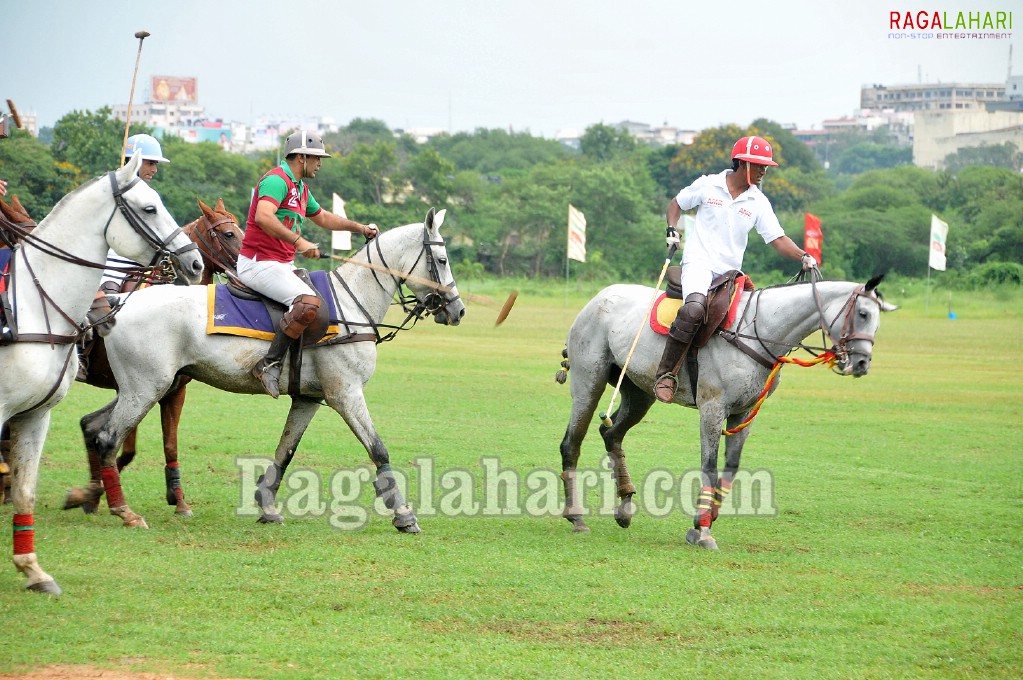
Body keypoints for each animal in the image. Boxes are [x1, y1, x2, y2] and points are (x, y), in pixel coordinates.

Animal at [0, 155, 203, 593]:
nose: (193, 262)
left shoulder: (36, 414)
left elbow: (29, 487)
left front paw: (35, 571)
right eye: (150, 208)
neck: (31, 307)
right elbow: (116, 439)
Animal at [62, 199, 242, 517]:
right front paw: (96, 494)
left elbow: (168, 444)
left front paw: (179, 499)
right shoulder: (134, 387)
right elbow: (123, 445)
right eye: (229, 234)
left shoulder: (174, 390)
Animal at [77, 205, 466, 531]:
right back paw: (122, 511)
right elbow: (378, 448)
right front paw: (404, 514)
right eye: (442, 258)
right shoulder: (346, 393)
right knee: (109, 437)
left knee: (95, 427)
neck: (352, 302)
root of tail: (120, 299)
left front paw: (266, 506)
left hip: (149, 385)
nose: (458, 310)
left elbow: (286, 450)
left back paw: (89, 497)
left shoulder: (309, 398)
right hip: (147, 386)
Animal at [560, 274, 896, 548]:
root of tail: (597, 298)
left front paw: (705, 521)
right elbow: (709, 466)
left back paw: (626, 507)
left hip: (639, 391)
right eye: (863, 313)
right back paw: (576, 518)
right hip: (589, 379)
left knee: (611, 433)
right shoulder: (712, 407)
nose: (861, 364)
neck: (761, 331)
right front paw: (702, 530)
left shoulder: (743, 413)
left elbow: (731, 468)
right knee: (572, 442)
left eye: (879, 321)